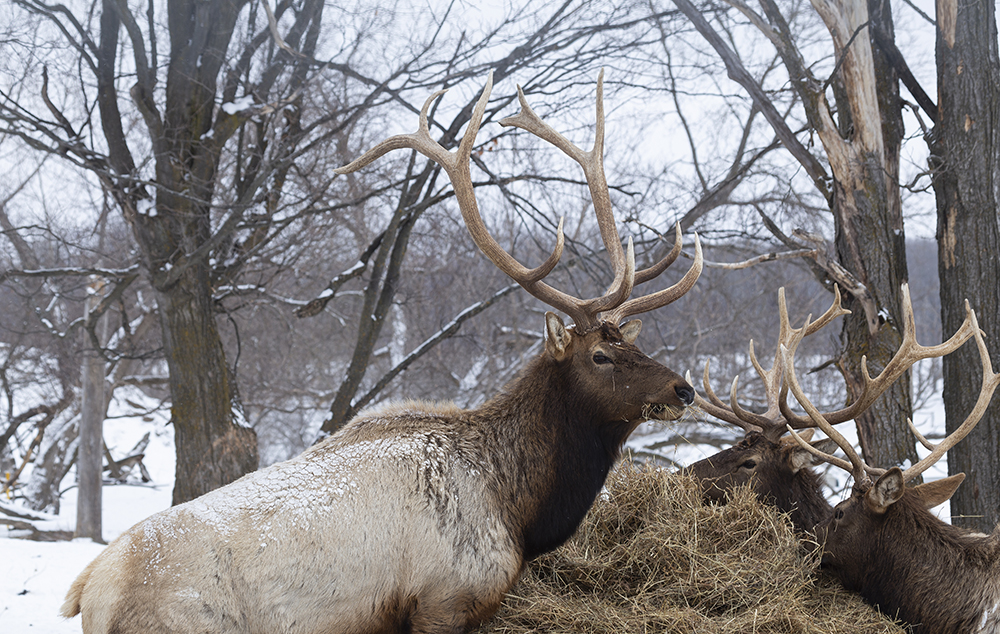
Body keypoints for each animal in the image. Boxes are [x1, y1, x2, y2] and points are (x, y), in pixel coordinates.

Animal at [60, 70, 704, 632]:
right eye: (600, 356)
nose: (683, 388)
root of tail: (88, 591)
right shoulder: (445, 599)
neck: (518, 509)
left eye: (632, 344)